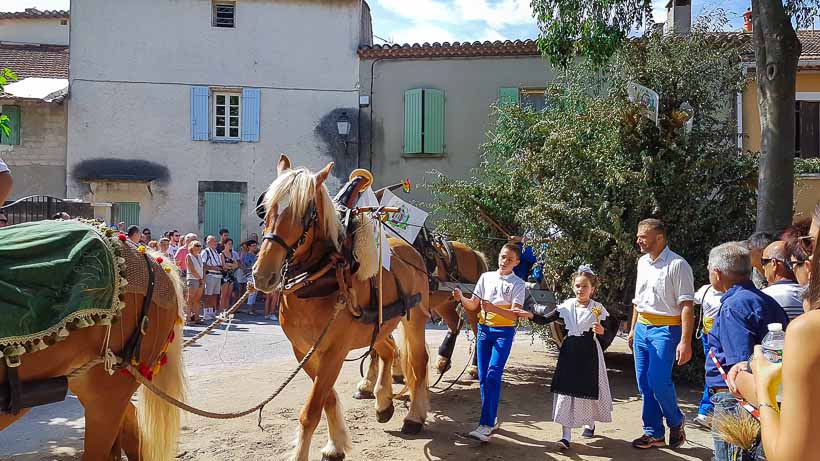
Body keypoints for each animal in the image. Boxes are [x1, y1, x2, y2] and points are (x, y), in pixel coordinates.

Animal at [253, 155, 432, 460]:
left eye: (306, 214)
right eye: (265, 208)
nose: (263, 274)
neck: (319, 277)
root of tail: (409, 249)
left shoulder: (334, 350)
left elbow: (311, 410)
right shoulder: (303, 350)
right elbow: (326, 398)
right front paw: (336, 443)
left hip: (415, 318)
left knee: (418, 363)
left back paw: (414, 417)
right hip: (378, 326)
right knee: (388, 351)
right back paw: (383, 401)